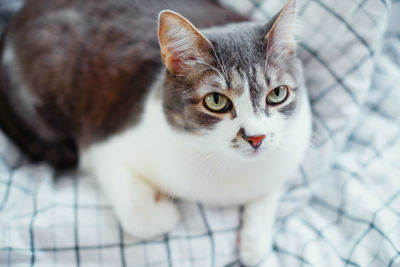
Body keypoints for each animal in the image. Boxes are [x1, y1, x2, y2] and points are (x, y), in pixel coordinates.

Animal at [0, 0, 310, 266]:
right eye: (216, 101)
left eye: (277, 94)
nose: (256, 138)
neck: (227, 164)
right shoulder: (105, 147)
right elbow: (142, 217)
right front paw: (164, 206)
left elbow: (270, 190)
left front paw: (253, 242)